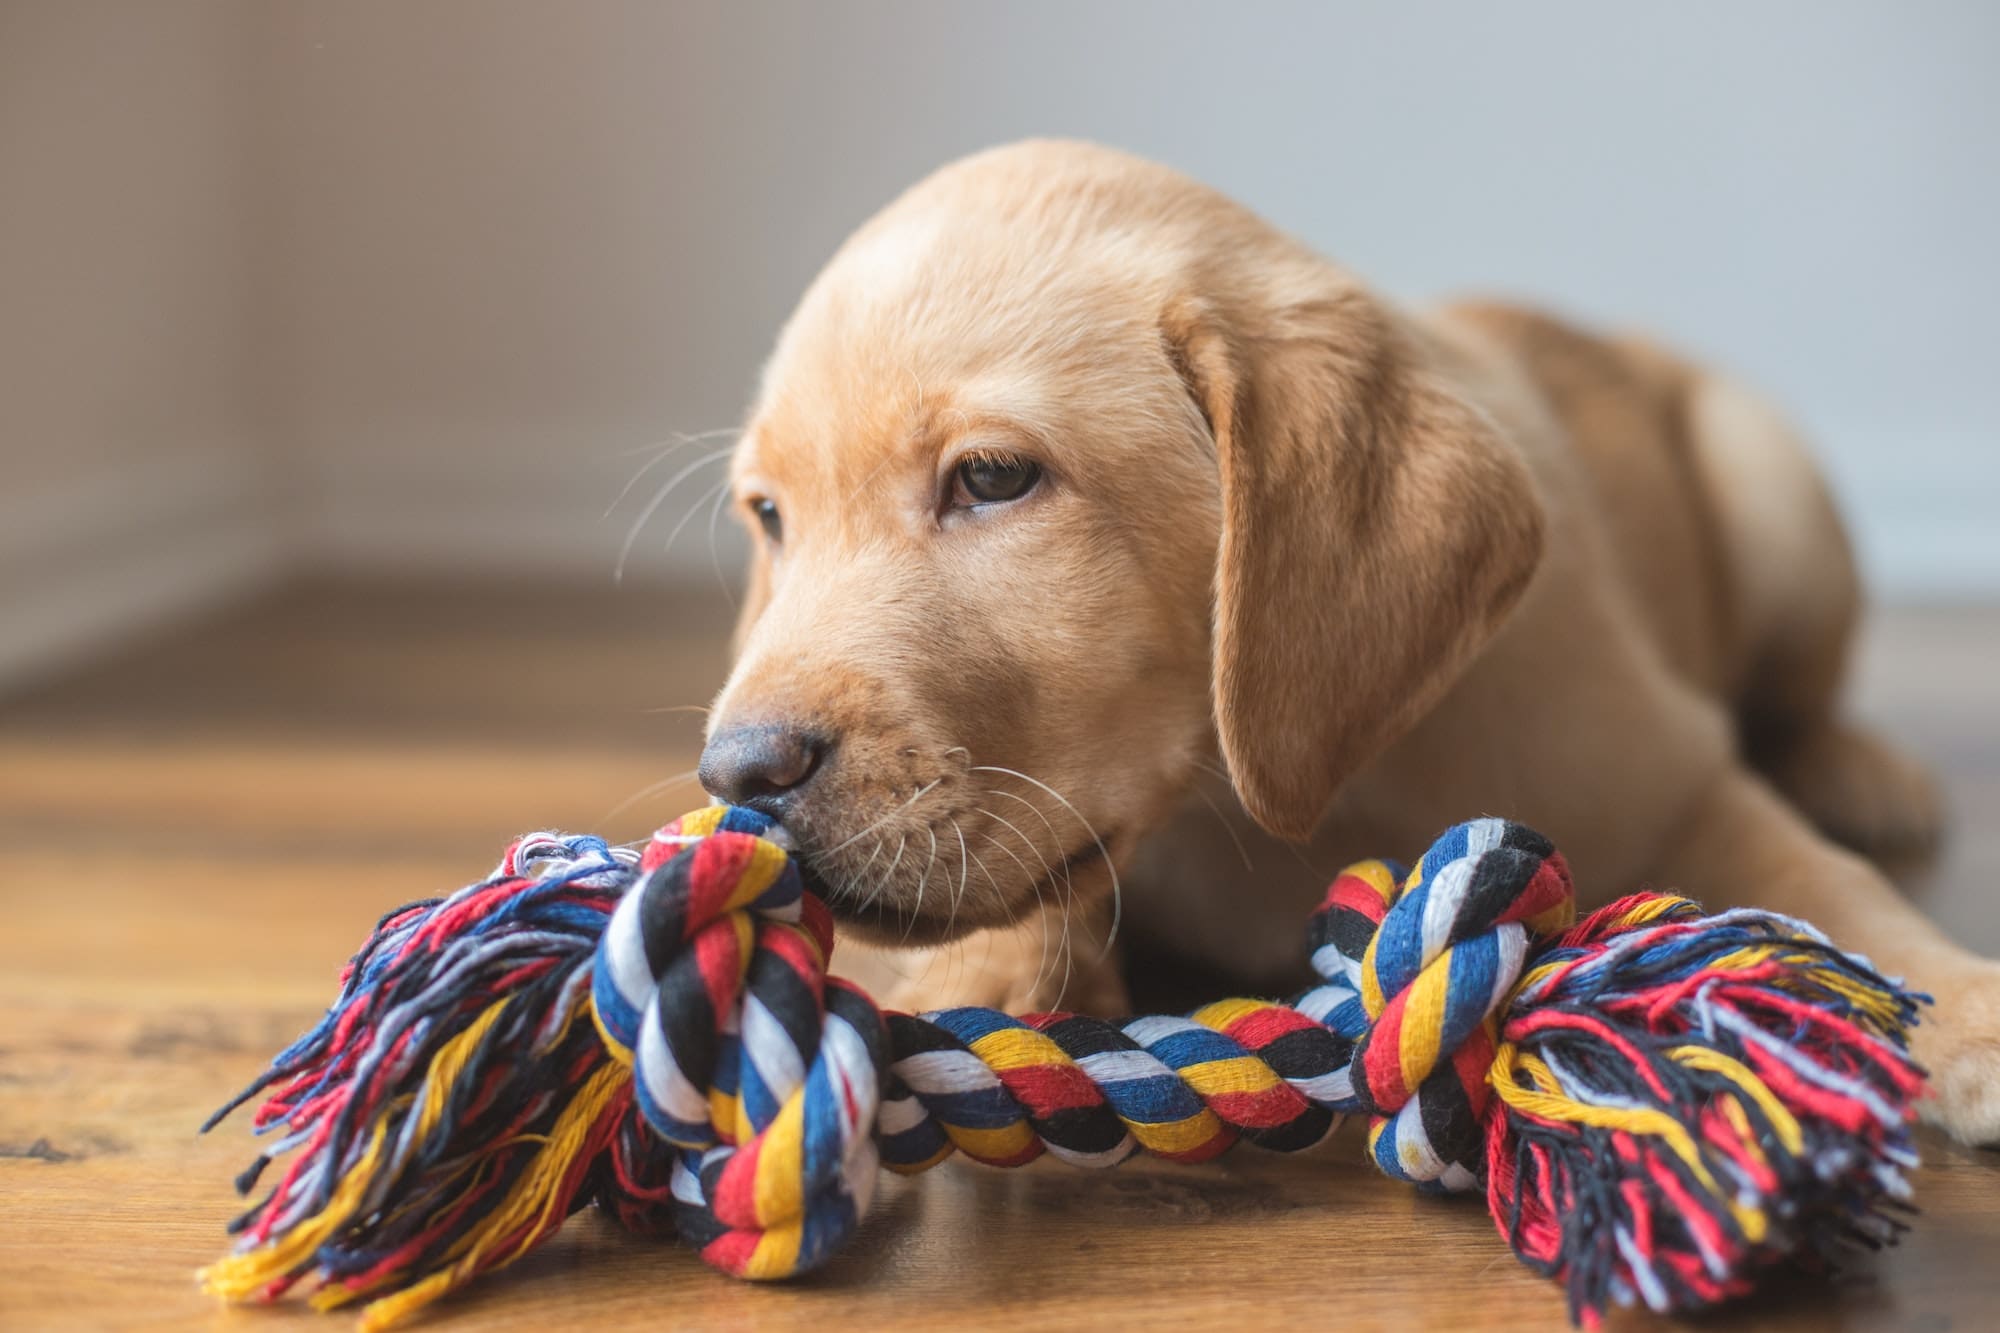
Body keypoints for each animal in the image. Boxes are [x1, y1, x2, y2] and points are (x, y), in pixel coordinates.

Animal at [692, 137, 2000, 1144]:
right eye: (769, 516)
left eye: (993, 477)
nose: (737, 773)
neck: (1258, 795)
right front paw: (996, 973)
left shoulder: (1670, 776)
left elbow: (1824, 883)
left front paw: (1957, 1008)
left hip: (1767, 485)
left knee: (1801, 696)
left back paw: (1859, 769)